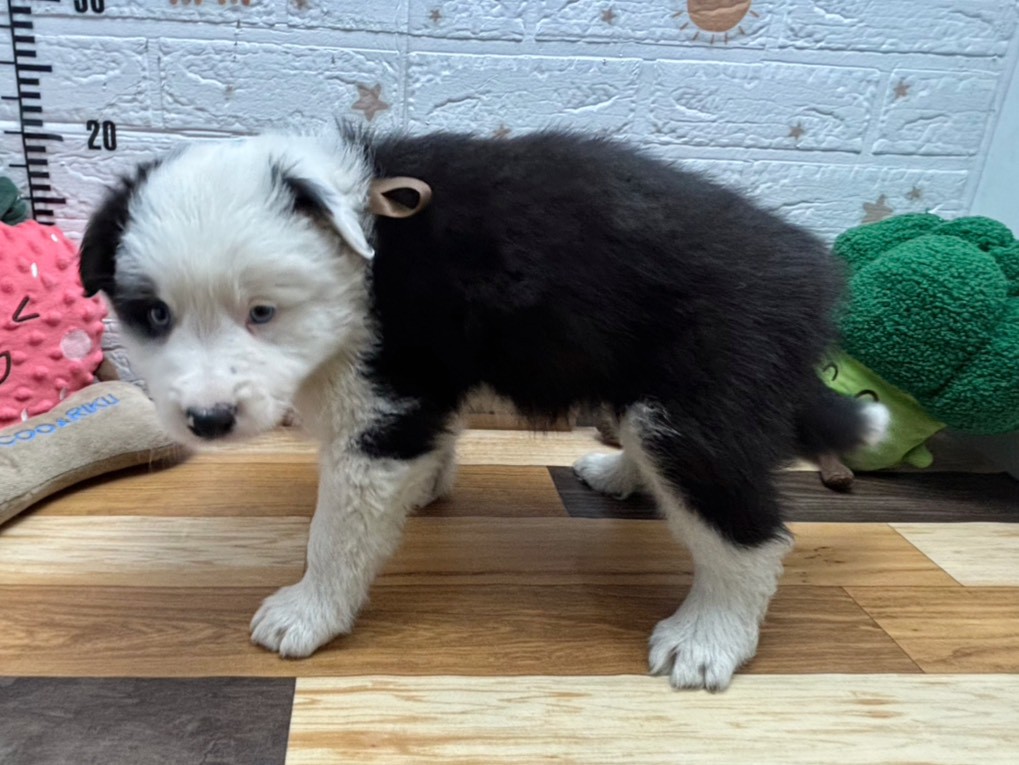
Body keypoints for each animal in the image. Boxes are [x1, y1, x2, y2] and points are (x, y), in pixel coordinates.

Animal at [79, 125, 888, 691]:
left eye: (262, 313)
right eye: (154, 315)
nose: (208, 420)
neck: (359, 247)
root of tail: (812, 279)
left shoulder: (383, 402)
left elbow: (335, 533)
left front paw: (308, 613)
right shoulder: (426, 385)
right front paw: (429, 487)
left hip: (698, 408)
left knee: (750, 537)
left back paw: (709, 637)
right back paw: (623, 474)